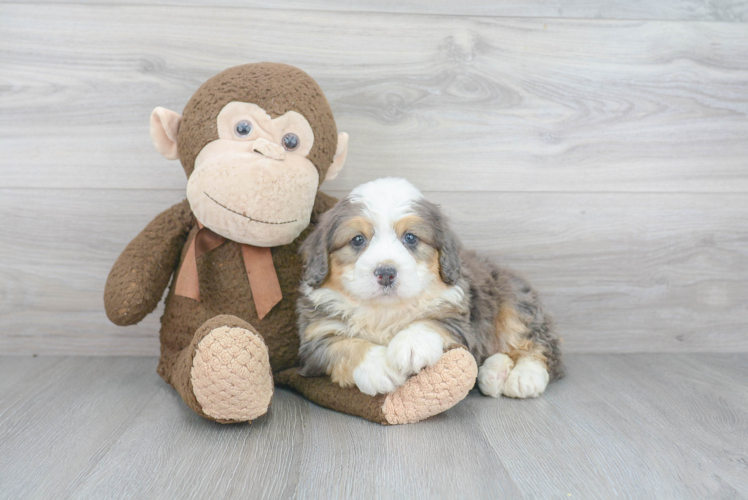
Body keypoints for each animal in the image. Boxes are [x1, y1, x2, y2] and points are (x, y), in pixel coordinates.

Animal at [296, 178, 564, 400]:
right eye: (358, 240)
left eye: (410, 238)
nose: (386, 273)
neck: (384, 310)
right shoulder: (316, 339)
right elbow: (345, 346)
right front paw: (378, 367)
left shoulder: (458, 321)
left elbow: (428, 321)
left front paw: (411, 344)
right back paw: (494, 373)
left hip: (515, 304)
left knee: (538, 346)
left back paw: (524, 377)